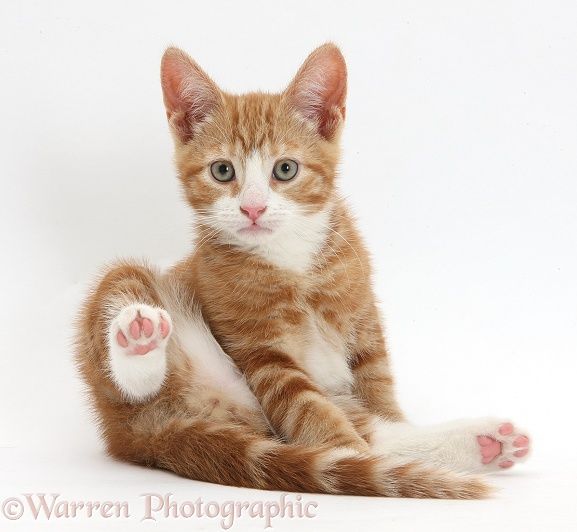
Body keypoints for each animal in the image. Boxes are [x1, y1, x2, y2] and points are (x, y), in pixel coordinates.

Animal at [74, 43, 528, 496]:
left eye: (285, 169)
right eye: (223, 170)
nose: (253, 208)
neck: (291, 260)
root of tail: (141, 435)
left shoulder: (363, 317)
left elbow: (376, 386)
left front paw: (385, 432)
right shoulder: (259, 350)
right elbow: (309, 409)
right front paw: (352, 458)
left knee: (373, 427)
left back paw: (482, 443)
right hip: (127, 308)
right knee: (136, 367)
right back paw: (140, 337)